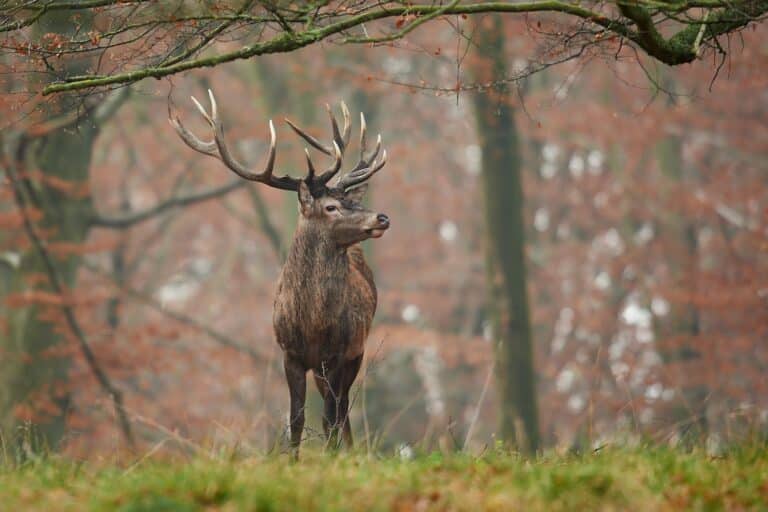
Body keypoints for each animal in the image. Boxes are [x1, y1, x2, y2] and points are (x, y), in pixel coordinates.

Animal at [169, 90, 389, 458]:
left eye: (351, 200)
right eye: (331, 206)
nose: (381, 217)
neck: (313, 323)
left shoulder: (337, 353)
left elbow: (328, 417)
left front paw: (330, 459)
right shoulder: (290, 354)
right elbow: (296, 418)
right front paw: (293, 461)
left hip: (356, 352)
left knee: (342, 408)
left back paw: (350, 452)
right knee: (340, 409)